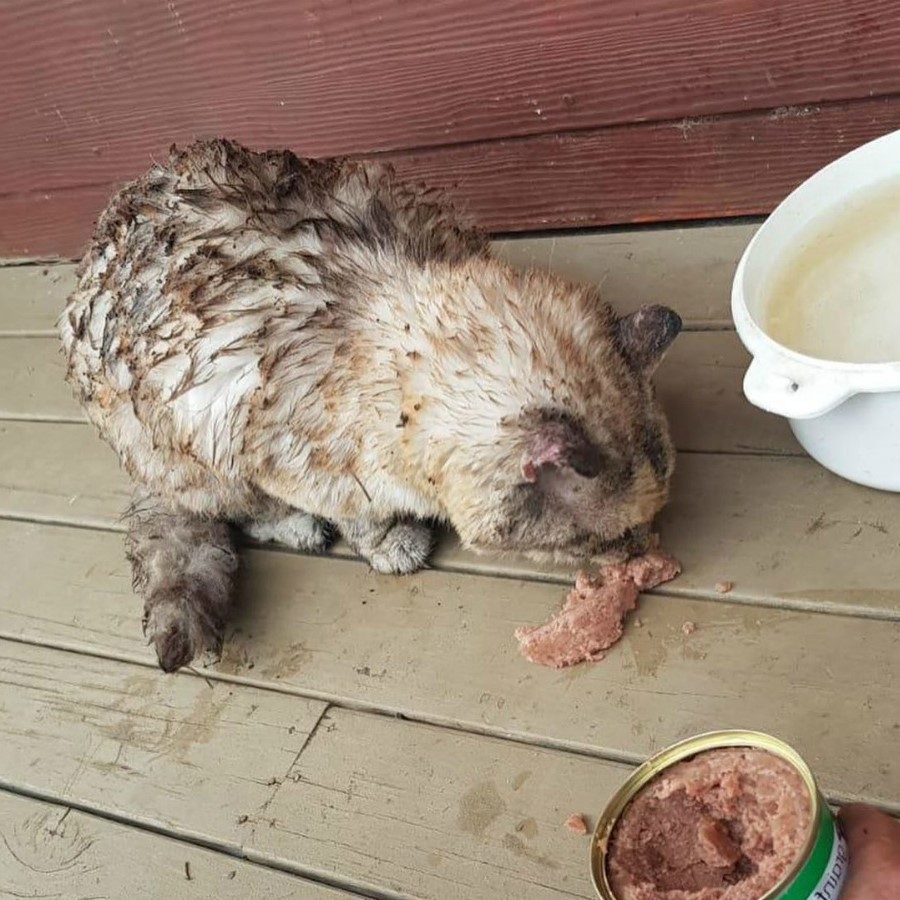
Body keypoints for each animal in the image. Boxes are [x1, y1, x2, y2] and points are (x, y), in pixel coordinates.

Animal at [59, 139, 684, 676]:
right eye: (599, 542)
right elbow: (359, 513)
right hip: (183, 457)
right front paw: (390, 541)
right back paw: (298, 527)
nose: (641, 552)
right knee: (235, 509)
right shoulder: (292, 461)